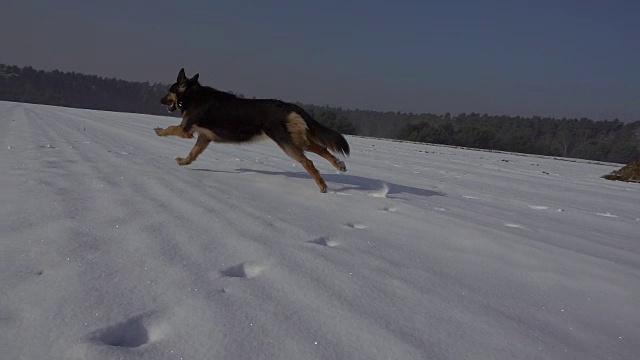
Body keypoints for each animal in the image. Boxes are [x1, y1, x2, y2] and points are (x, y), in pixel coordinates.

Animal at [156, 68, 350, 193]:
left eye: (169, 91)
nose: (160, 100)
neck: (193, 95)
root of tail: (289, 106)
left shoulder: (186, 130)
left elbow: (170, 128)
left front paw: (158, 131)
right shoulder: (204, 137)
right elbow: (193, 154)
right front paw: (183, 162)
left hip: (286, 142)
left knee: (308, 162)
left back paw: (322, 185)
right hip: (297, 139)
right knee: (322, 149)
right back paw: (339, 165)